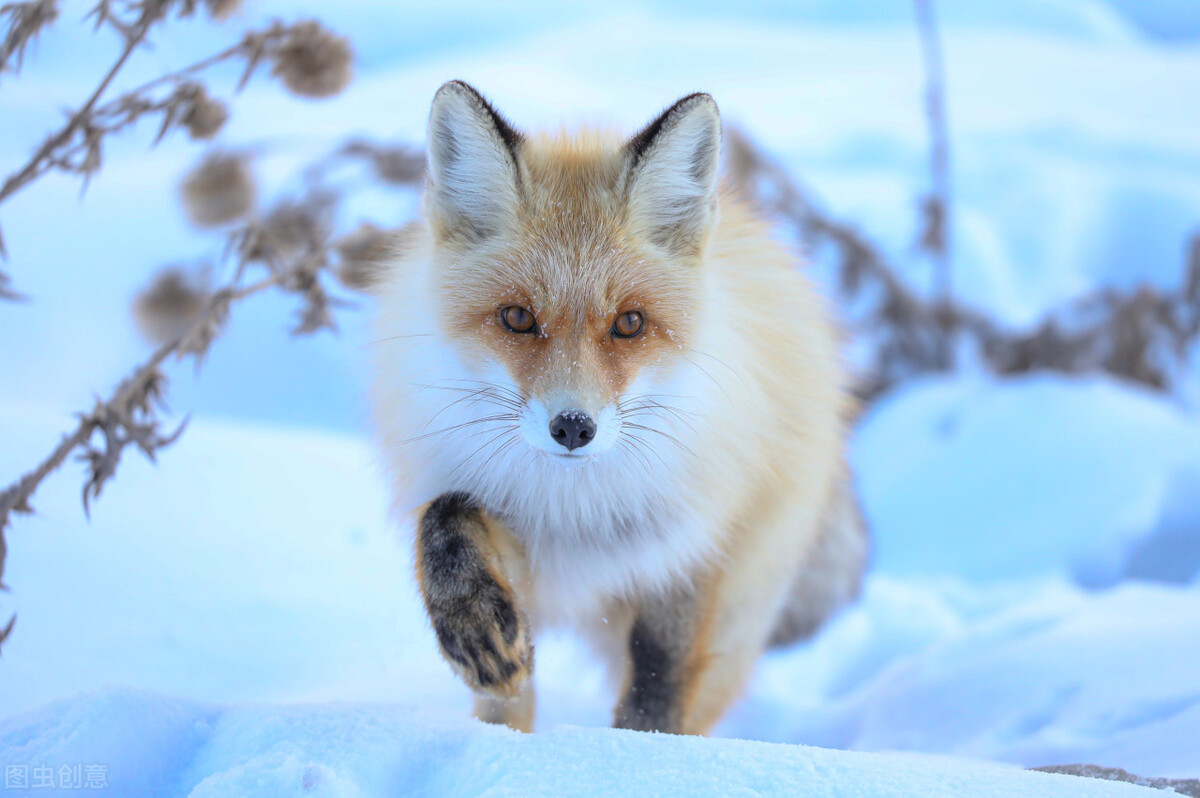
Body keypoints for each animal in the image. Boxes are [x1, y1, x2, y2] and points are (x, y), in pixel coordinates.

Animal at [369, 81, 868, 734]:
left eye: (629, 323)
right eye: (517, 317)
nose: (573, 428)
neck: (577, 511)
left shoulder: (690, 544)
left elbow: (660, 676)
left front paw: (638, 748)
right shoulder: (528, 546)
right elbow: (446, 518)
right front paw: (473, 627)